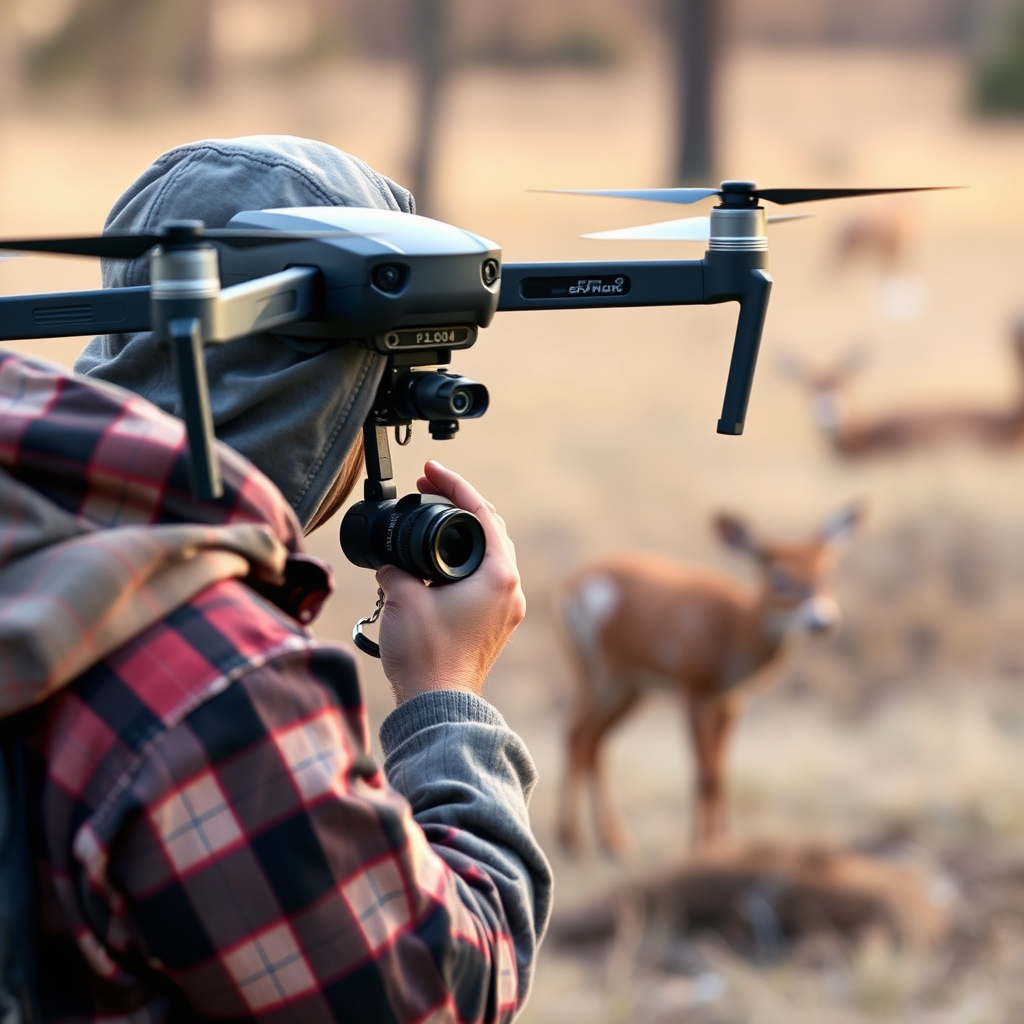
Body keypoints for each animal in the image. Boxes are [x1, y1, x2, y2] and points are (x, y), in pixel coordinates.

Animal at [554, 502, 864, 858]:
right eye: (780, 578)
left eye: (829, 573)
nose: (822, 621)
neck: (735, 630)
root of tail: (571, 586)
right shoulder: (693, 689)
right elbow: (705, 776)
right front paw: (700, 847)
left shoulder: (731, 699)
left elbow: (722, 774)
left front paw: (726, 844)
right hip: (599, 672)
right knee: (578, 733)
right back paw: (571, 840)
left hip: (631, 686)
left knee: (593, 739)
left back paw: (613, 842)